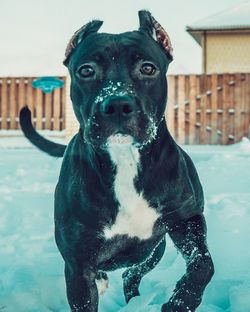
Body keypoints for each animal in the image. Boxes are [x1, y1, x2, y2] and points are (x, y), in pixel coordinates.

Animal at [20, 10, 214, 312]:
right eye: (86, 70)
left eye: (148, 68)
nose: (118, 104)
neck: (125, 160)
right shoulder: (78, 266)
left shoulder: (187, 219)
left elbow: (203, 264)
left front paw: (180, 302)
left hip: (152, 252)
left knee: (131, 274)